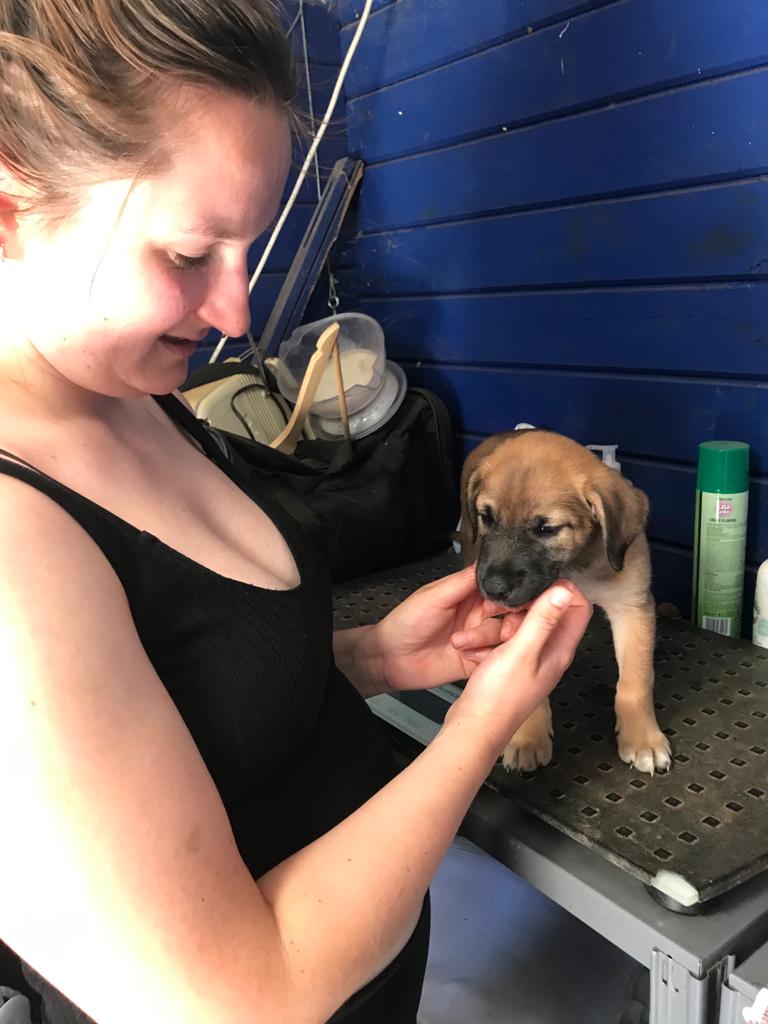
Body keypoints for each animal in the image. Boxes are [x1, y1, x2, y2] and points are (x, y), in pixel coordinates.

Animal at [459, 428, 671, 776]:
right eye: (487, 516)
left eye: (547, 528)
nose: (493, 589)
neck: (575, 564)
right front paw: (528, 738)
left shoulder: (632, 607)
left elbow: (635, 682)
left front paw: (643, 739)